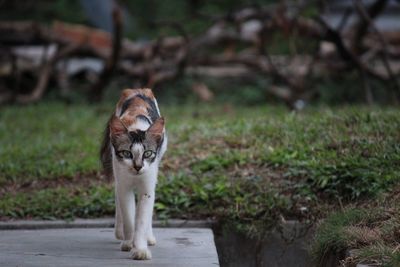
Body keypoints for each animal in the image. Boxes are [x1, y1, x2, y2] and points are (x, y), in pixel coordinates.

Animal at [101, 89, 169, 260]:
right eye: (127, 153)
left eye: (148, 153)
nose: (138, 167)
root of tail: (137, 90)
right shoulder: (124, 185)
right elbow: (129, 217)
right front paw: (128, 242)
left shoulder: (147, 187)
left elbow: (142, 219)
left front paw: (140, 249)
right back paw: (119, 232)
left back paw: (149, 237)